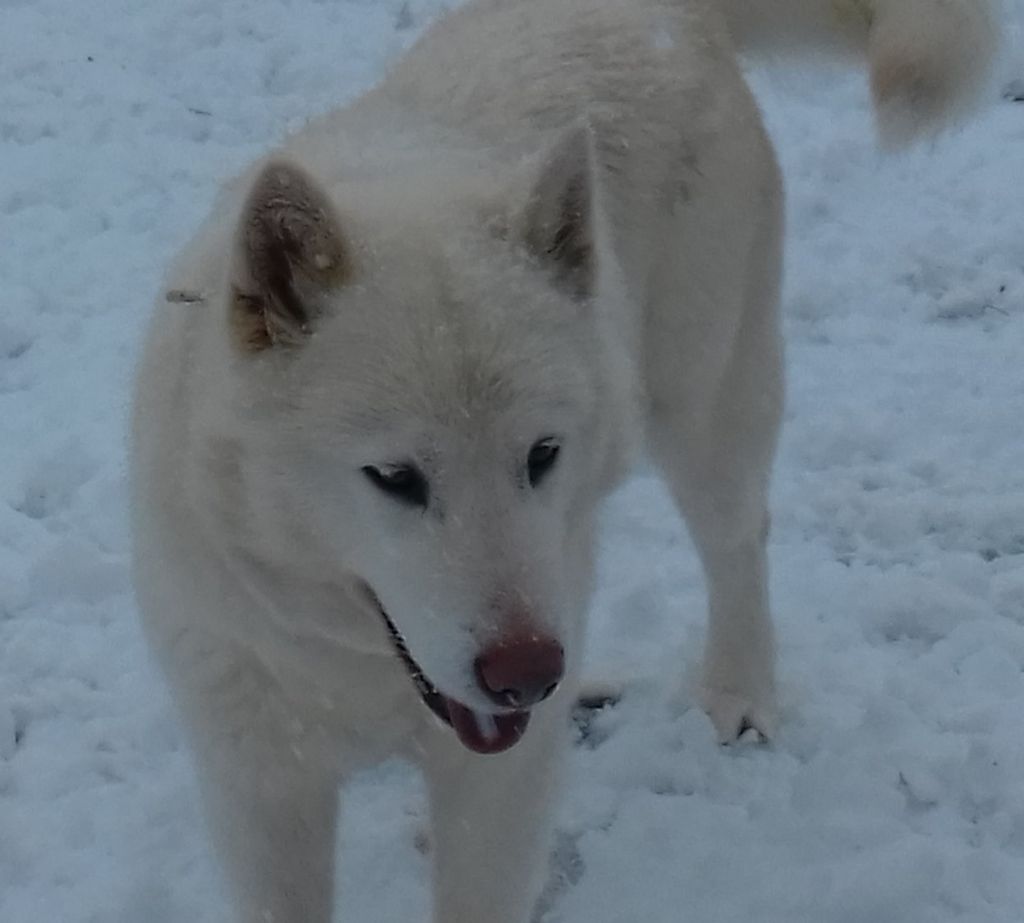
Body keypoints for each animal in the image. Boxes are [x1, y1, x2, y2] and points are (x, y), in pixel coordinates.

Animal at [132, 3, 995, 917]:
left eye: (541, 453)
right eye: (396, 478)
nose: (527, 676)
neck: (359, 664)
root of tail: (671, 15)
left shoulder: (498, 787)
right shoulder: (261, 785)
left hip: (704, 408)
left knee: (738, 543)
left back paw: (737, 693)